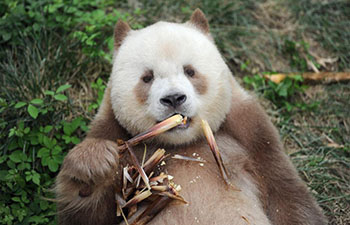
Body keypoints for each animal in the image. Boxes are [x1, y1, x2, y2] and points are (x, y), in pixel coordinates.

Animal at [54, 8, 326, 225]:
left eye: (190, 71)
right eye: (147, 77)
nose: (174, 98)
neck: (183, 144)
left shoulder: (252, 134)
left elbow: (286, 195)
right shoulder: (114, 131)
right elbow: (91, 215)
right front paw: (94, 164)